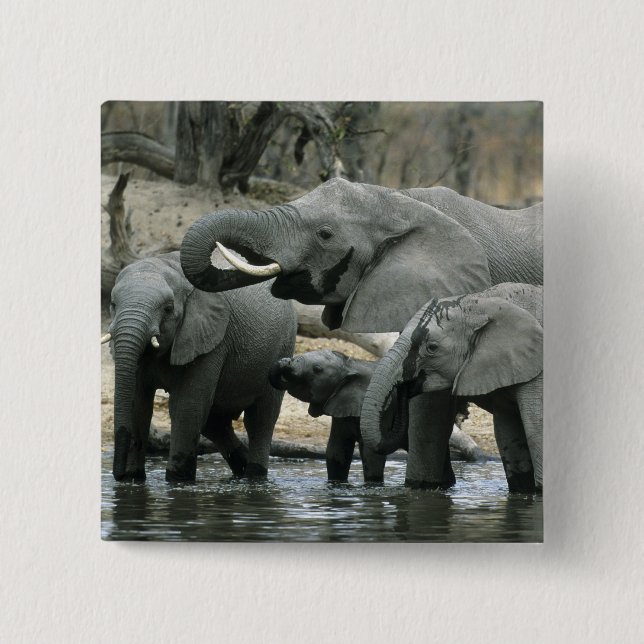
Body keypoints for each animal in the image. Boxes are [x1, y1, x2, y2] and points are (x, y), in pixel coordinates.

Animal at [102, 251, 297, 483]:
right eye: (113, 304)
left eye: (168, 309)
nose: (118, 475)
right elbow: (138, 404)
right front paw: (132, 479)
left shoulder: (211, 340)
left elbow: (186, 406)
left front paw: (178, 480)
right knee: (215, 423)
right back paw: (240, 471)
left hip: (282, 347)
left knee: (260, 419)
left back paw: (254, 476)